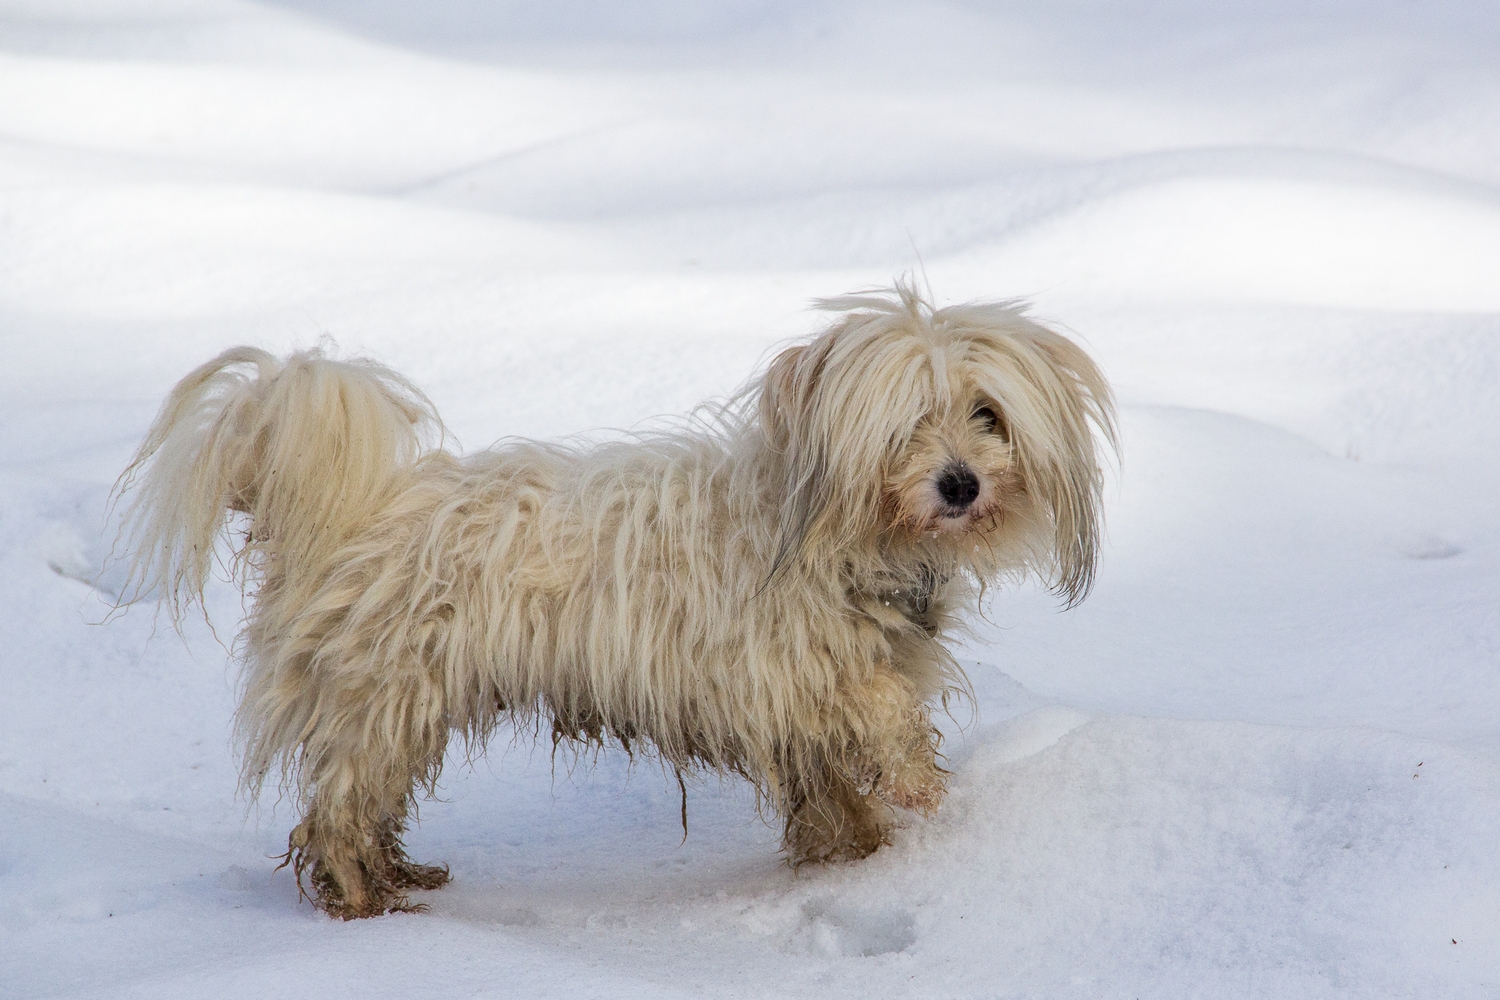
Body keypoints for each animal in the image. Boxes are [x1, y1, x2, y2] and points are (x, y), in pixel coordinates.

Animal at [114, 280, 1116, 917]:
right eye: (906, 422)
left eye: (988, 414)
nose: (960, 484)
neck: (846, 536)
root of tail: (345, 515)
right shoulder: (779, 665)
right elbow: (879, 713)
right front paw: (920, 788)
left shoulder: (802, 710)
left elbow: (836, 793)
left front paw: (859, 858)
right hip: (381, 702)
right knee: (335, 819)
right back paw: (364, 902)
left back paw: (402, 882)